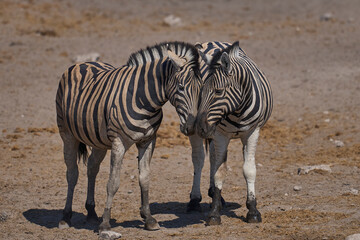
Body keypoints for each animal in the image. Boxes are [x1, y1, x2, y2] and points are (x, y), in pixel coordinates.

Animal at [56, 41, 202, 236]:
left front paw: (149, 219)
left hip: (98, 140)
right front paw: (105, 224)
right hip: (67, 134)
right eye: (181, 87)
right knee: (72, 174)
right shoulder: (118, 143)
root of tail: (83, 63)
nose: (191, 127)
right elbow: (113, 183)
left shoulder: (148, 141)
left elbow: (145, 178)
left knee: (92, 168)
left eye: (201, 89)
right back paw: (65, 217)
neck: (145, 100)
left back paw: (92, 212)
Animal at [194, 40, 272, 225]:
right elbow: (220, 171)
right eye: (201, 92)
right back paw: (196, 199)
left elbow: (249, 169)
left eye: (218, 91)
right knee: (200, 160)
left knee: (212, 158)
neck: (238, 110)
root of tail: (213, 42)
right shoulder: (220, 134)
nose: (200, 128)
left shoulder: (252, 132)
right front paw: (214, 213)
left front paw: (253, 211)